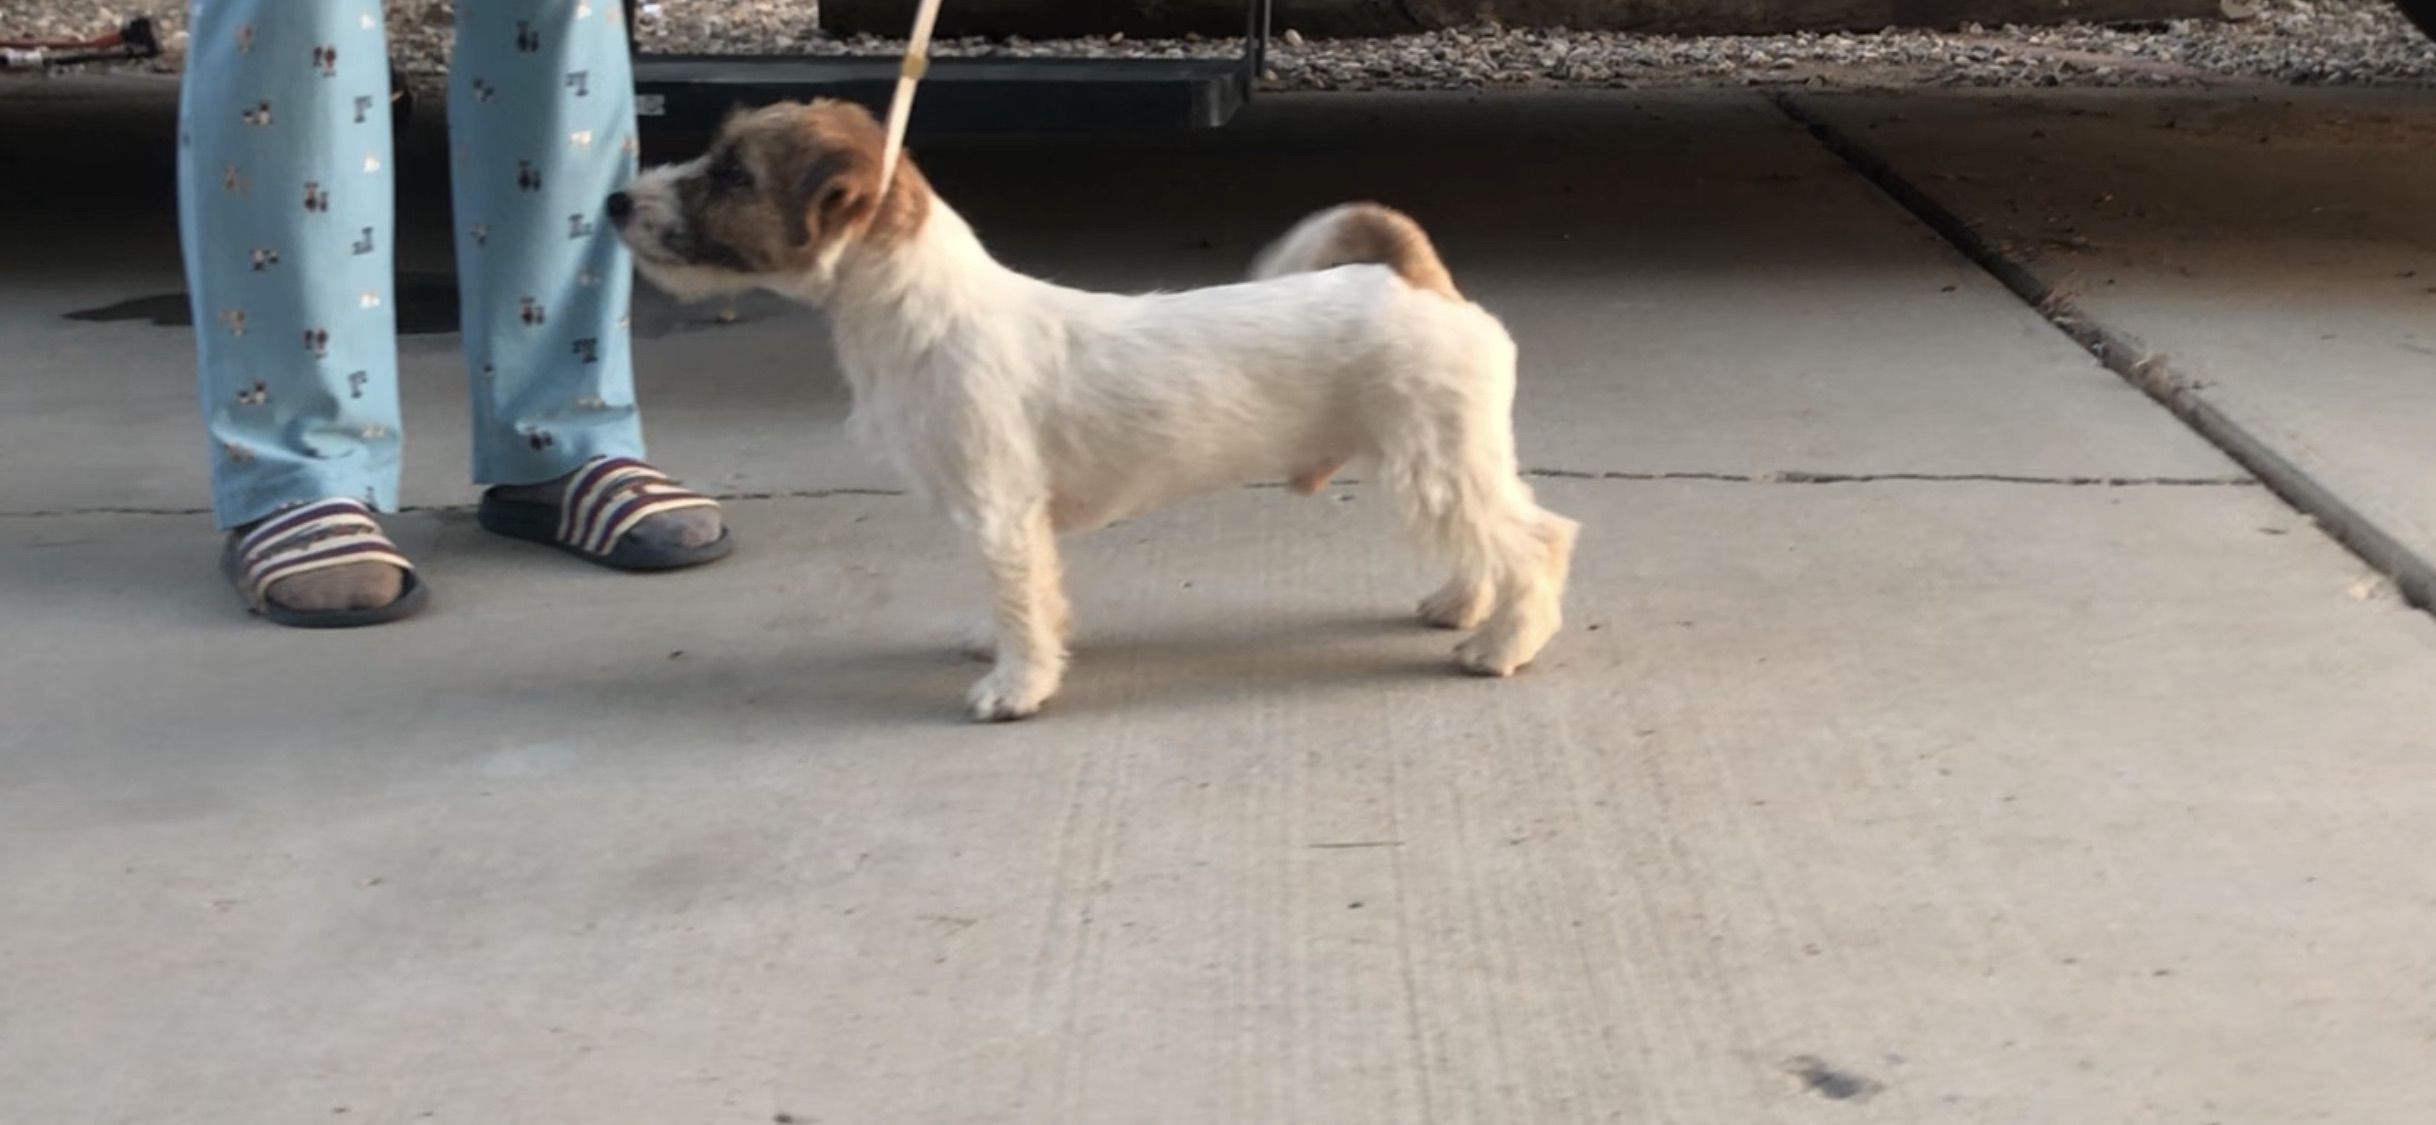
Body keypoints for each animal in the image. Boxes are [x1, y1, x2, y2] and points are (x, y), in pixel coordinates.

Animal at [610, 100, 1577, 721]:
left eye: (732, 174)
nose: (618, 199)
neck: (921, 310)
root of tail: (1414, 276)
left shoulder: (998, 511)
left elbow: (1017, 597)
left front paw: (1018, 685)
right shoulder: (1006, 520)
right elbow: (1027, 593)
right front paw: (1011, 649)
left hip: (1437, 465)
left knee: (1536, 540)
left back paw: (1503, 645)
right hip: (1432, 465)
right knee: (1488, 540)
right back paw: (1463, 605)